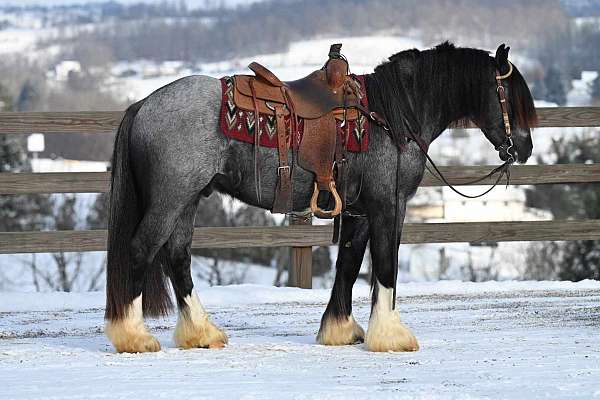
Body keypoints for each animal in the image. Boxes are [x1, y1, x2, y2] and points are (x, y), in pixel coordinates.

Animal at [103, 41, 536, 354]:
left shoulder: (359, 212)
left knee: (177, 257)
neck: (393, 115)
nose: (525, 148)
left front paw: (340, 330)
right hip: (171, 199)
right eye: (508, 96)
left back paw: (201, 332)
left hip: (188, 199)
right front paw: (392, 336)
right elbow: (386, 267)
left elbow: (348, 264)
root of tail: (144, 104)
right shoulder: (389, 206)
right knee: (142, 249)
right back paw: (135, 337)